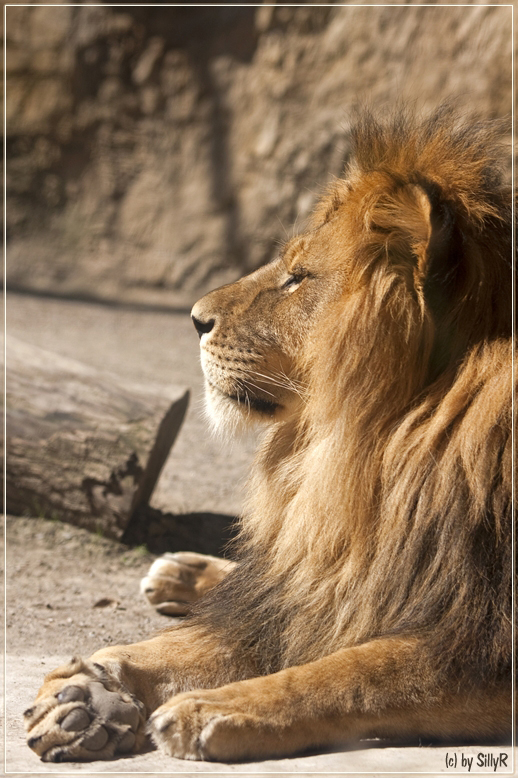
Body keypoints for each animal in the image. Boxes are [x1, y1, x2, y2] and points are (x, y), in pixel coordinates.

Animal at [23, 106, 512, 760]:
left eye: (298, 278)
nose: (194, 318)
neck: (377, 446)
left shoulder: (480, 636)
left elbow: (355, 670)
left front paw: (211, 708)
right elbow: (209, 637)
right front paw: (87, 688)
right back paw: (184, 574)